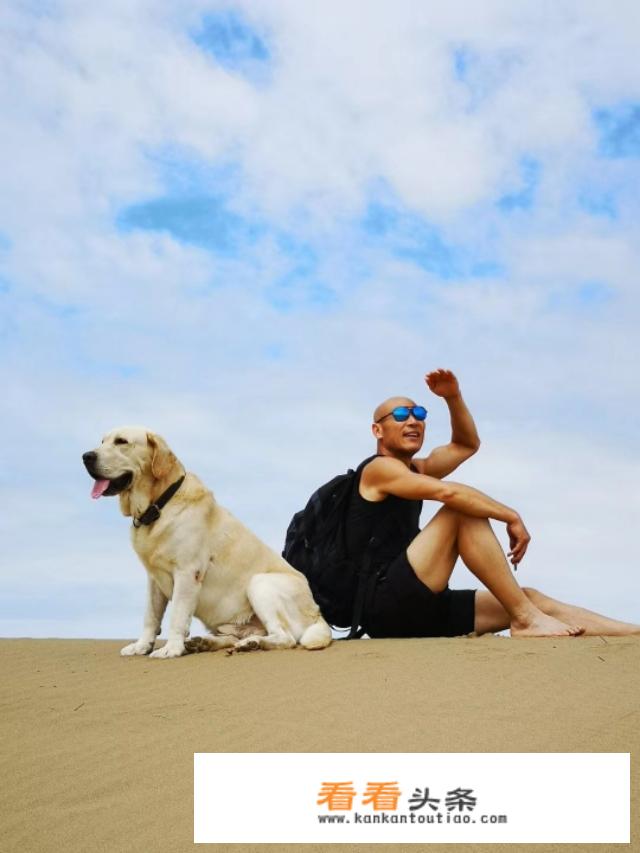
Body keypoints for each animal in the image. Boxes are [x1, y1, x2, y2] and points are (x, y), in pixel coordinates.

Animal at [82, 426, 332, 660]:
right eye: (102, 441)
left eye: (121, 441)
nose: (86, 456)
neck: (158, 506)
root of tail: (318, 613)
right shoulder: (154, 580)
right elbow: (150, 617)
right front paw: (142, 646)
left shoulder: (187, 572)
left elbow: (177, 616)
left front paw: (171, 648)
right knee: (234, 636)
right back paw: (207, 643)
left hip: (260, 583)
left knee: (284, 637)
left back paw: (252, 644)